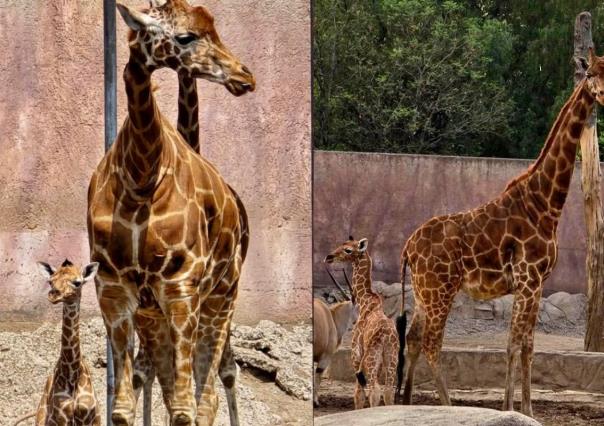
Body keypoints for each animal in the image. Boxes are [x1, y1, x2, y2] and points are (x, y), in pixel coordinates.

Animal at [33, 260, 101, 426]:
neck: (72, 374)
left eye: (77, 283)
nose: (53, 295)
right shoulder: (61, 418)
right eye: (50, 281)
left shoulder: (88, 417)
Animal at [86, 0, 254, 422]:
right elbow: (123, 407)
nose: (244, 76)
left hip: (222, 296)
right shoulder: (113, 289)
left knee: (210, 390)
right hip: (156, 314)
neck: (140, 178)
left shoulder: (181, 287)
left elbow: (183, 407)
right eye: (185, 36)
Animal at [324, 238, 404, 408]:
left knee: (375, 390)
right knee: (388, 391)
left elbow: (358, 394)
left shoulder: (356, 354)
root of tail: (387, 335)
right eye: (342, 244)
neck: (365, 301)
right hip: (391, 358)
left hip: (371, 358)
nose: (329, 257)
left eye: (348, 250)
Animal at [402, 47, 604, 416]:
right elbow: (512, 345)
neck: (545, 204)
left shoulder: (537, 284)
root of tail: (407, 248)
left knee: (412, 339)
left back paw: (405, 403)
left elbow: (527, 346)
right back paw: (448, 407)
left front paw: (528, 410)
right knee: (432, 344)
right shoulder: (527, 280)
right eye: (591, 73)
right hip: (440, 291)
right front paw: (511, 408)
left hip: (424, 293)